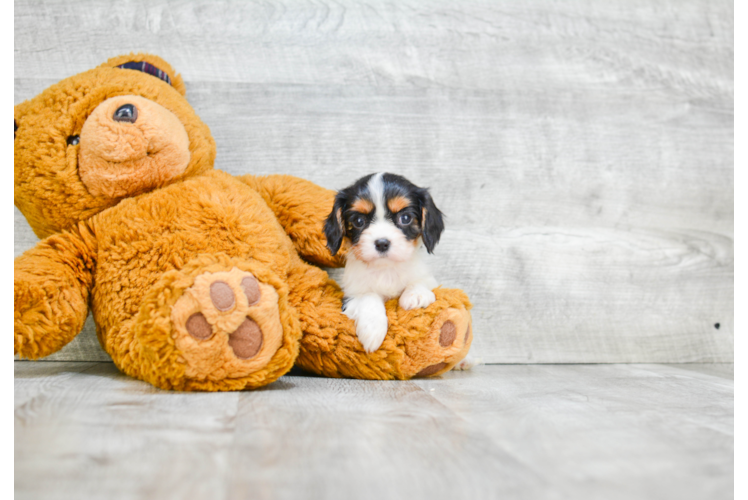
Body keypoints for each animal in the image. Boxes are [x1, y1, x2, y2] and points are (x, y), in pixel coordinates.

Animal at [326, 174, 444, 354]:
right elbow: (369, 297)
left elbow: (420, 281)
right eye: (359, 221)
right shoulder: (351, 296)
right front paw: (372, 329)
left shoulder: (428, 279)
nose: (382, 243)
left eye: (405, 218)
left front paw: (415, 295)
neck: (386, 269)